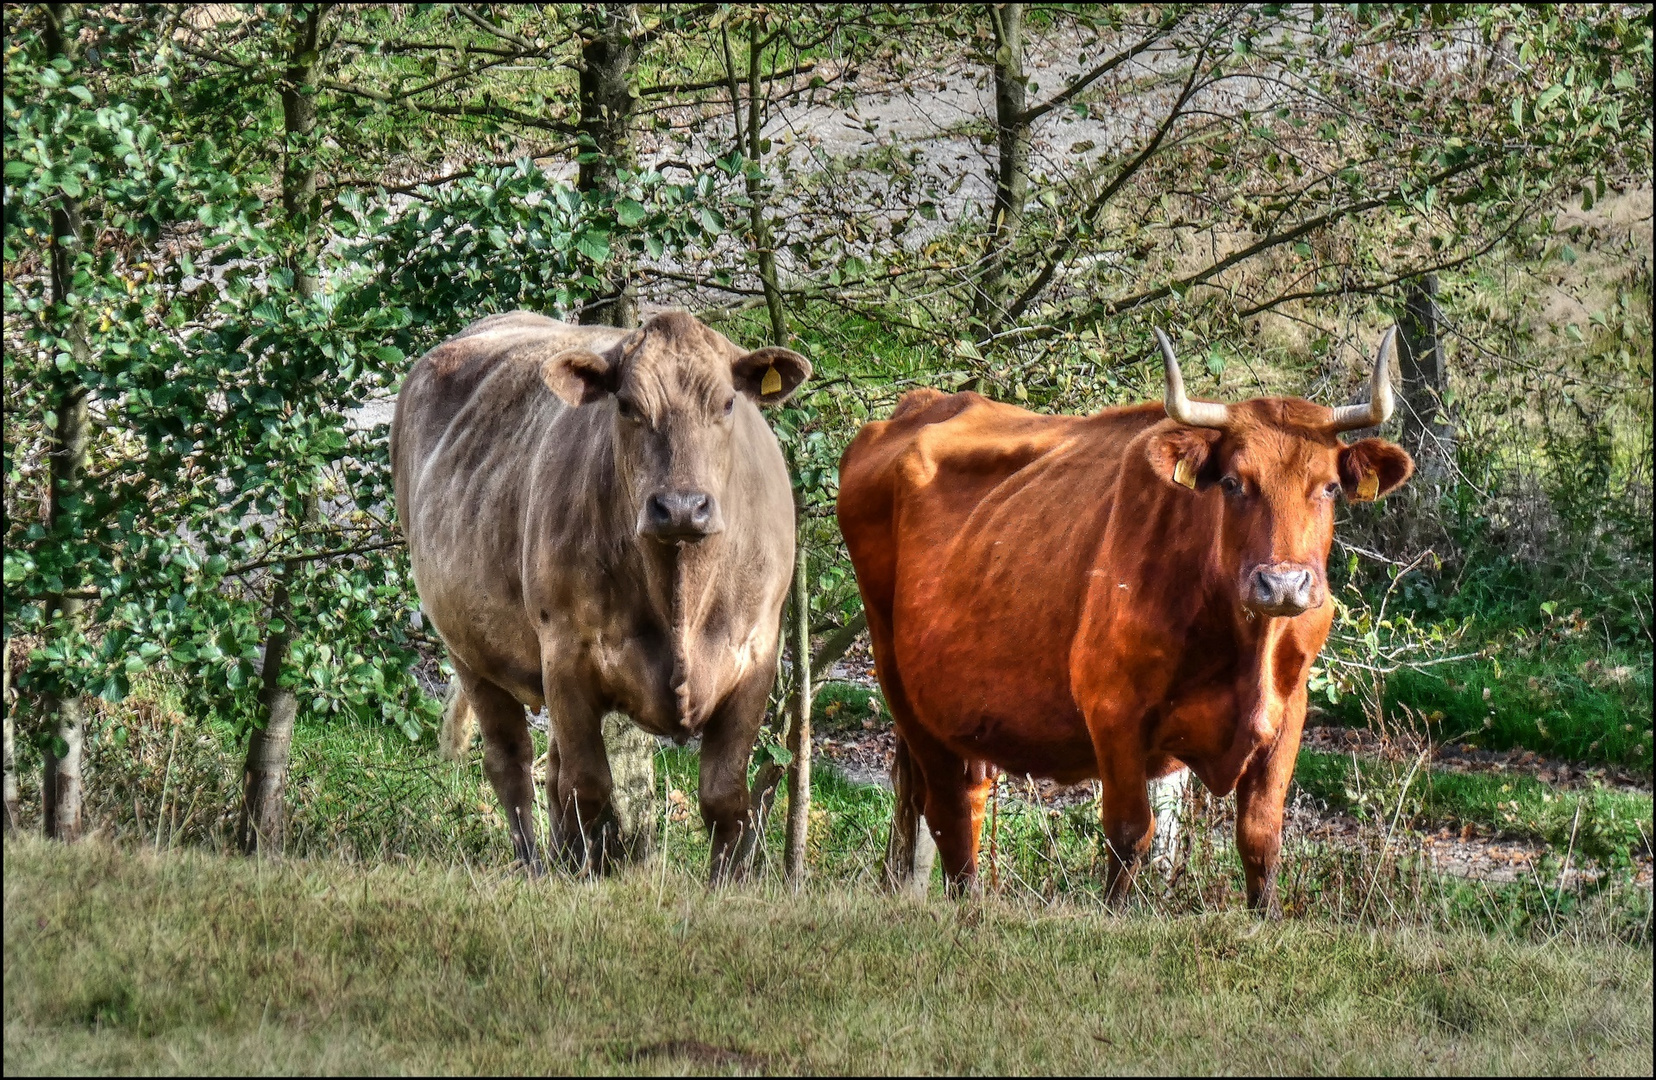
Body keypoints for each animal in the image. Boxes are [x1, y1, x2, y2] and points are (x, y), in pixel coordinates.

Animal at [400, 309, 814, 874]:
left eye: (728, 402)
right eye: (627, 405)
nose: (681, 507)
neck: (680, 593)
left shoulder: (755, 656)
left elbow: (725, 799)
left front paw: (722, 884)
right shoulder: (566, 654)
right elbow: (587, 789)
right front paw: (581, 881)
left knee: (550, 770)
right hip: (466, 647)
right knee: (511, 763)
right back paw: (536, 867)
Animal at [841, 329, 1410, 914]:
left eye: (1329, 488)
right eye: (1232, 483)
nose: (1283, 584)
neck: (1244, 646)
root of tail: (923, 403)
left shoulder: (1288, 712)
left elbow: (1261, 836)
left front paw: (1266, 916)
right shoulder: (1112, 708)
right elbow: (1129, 831)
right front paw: (1115, 914)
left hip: (964, 712)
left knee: (969, 799)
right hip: (902, 687)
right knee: (946, 810)